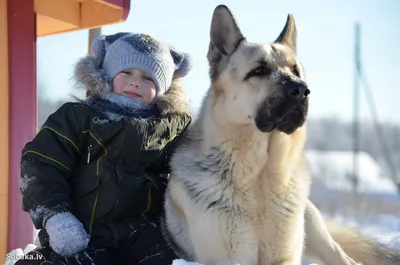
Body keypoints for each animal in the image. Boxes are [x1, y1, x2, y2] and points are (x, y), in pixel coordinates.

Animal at [160, 4, 400, 264]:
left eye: (296, 70)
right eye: (259, 70)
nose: (302, 90)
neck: (260, 175)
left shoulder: (284, 256)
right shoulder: (229, 257)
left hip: (313, 227)